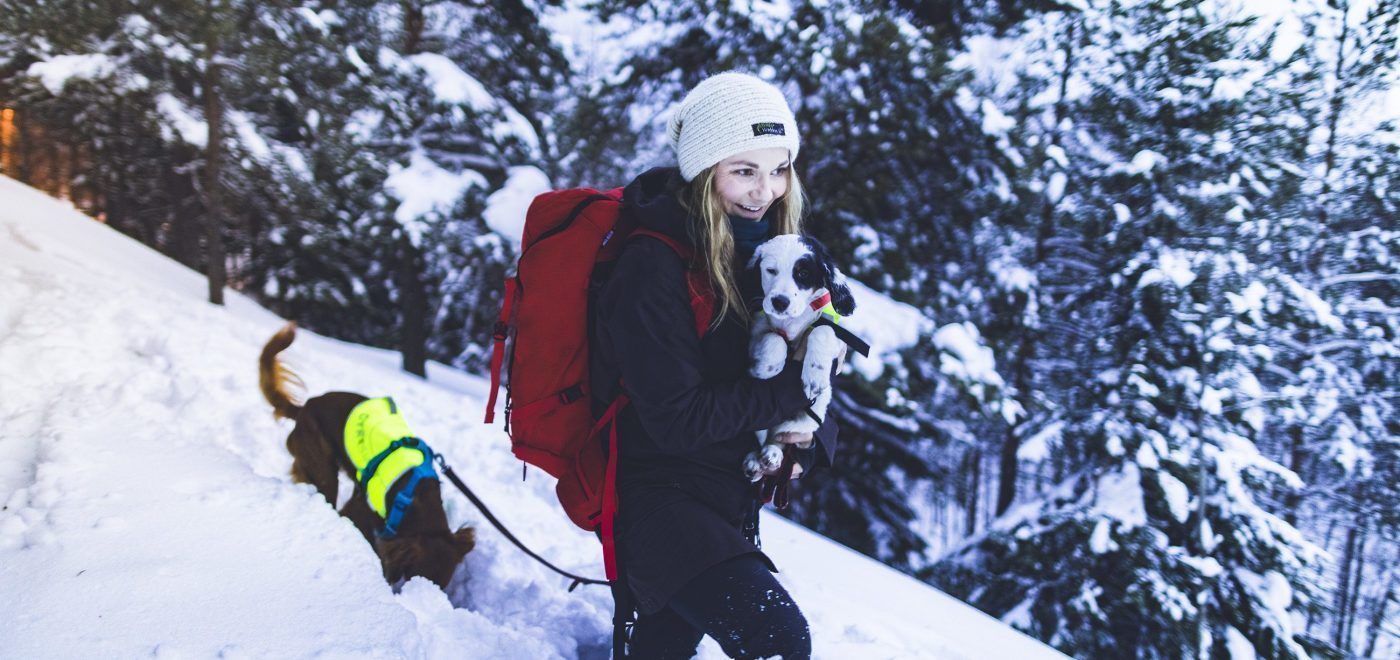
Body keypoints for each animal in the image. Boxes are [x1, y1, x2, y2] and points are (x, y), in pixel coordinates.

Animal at [261, 325, 476, 588]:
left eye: (443, 586)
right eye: (414, 577)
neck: (415, 498)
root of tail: (304, 408)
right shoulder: (360, 509)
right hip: (323, 471)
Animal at [744, 235, 851, 482]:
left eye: (802, 273)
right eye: (771, 270)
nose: (780, 302)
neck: (792, 321)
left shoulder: (837, 336)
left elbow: (821, 330)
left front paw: (815, 378)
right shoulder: (756, 330)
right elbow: (775, 338)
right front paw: (768, 368)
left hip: (807, 421)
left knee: (777, 437)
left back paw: (771, 455)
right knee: (761, 433)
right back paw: (756, 461)